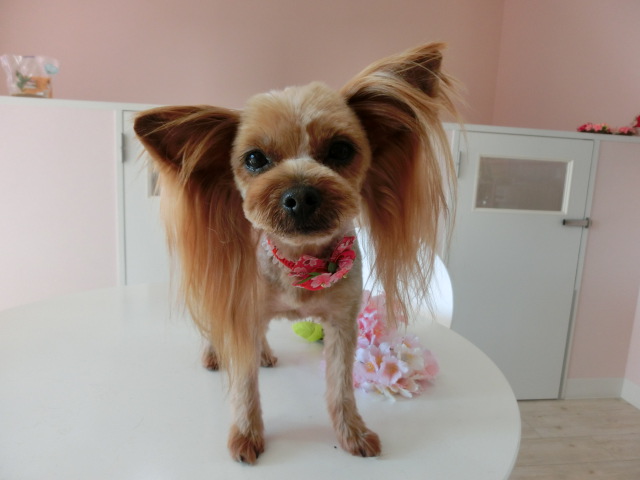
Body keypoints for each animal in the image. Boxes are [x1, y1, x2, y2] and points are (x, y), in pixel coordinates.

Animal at [133, 42, 456, 464]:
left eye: (341, 150)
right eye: (254, 159)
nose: (301, 195)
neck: (301, 262)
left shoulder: (342, 323)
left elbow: (340, 385)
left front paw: (352, 432)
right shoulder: (243, 305)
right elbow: (245, 385)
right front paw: (247, 433)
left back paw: (264, 352)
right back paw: (217, 352)